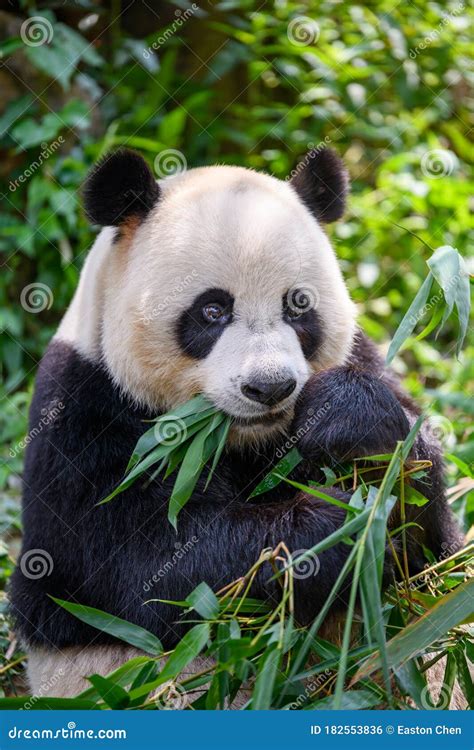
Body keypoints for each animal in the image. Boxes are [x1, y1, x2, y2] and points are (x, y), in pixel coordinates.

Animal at [11, 147, 462, 700]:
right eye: (212, 310)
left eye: (298, 305)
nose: (269, 388)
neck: (247, 439)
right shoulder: (83, 416)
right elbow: (158, 569)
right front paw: (334, 529)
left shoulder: (363, 358)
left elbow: (433, 547)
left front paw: (350, 430)